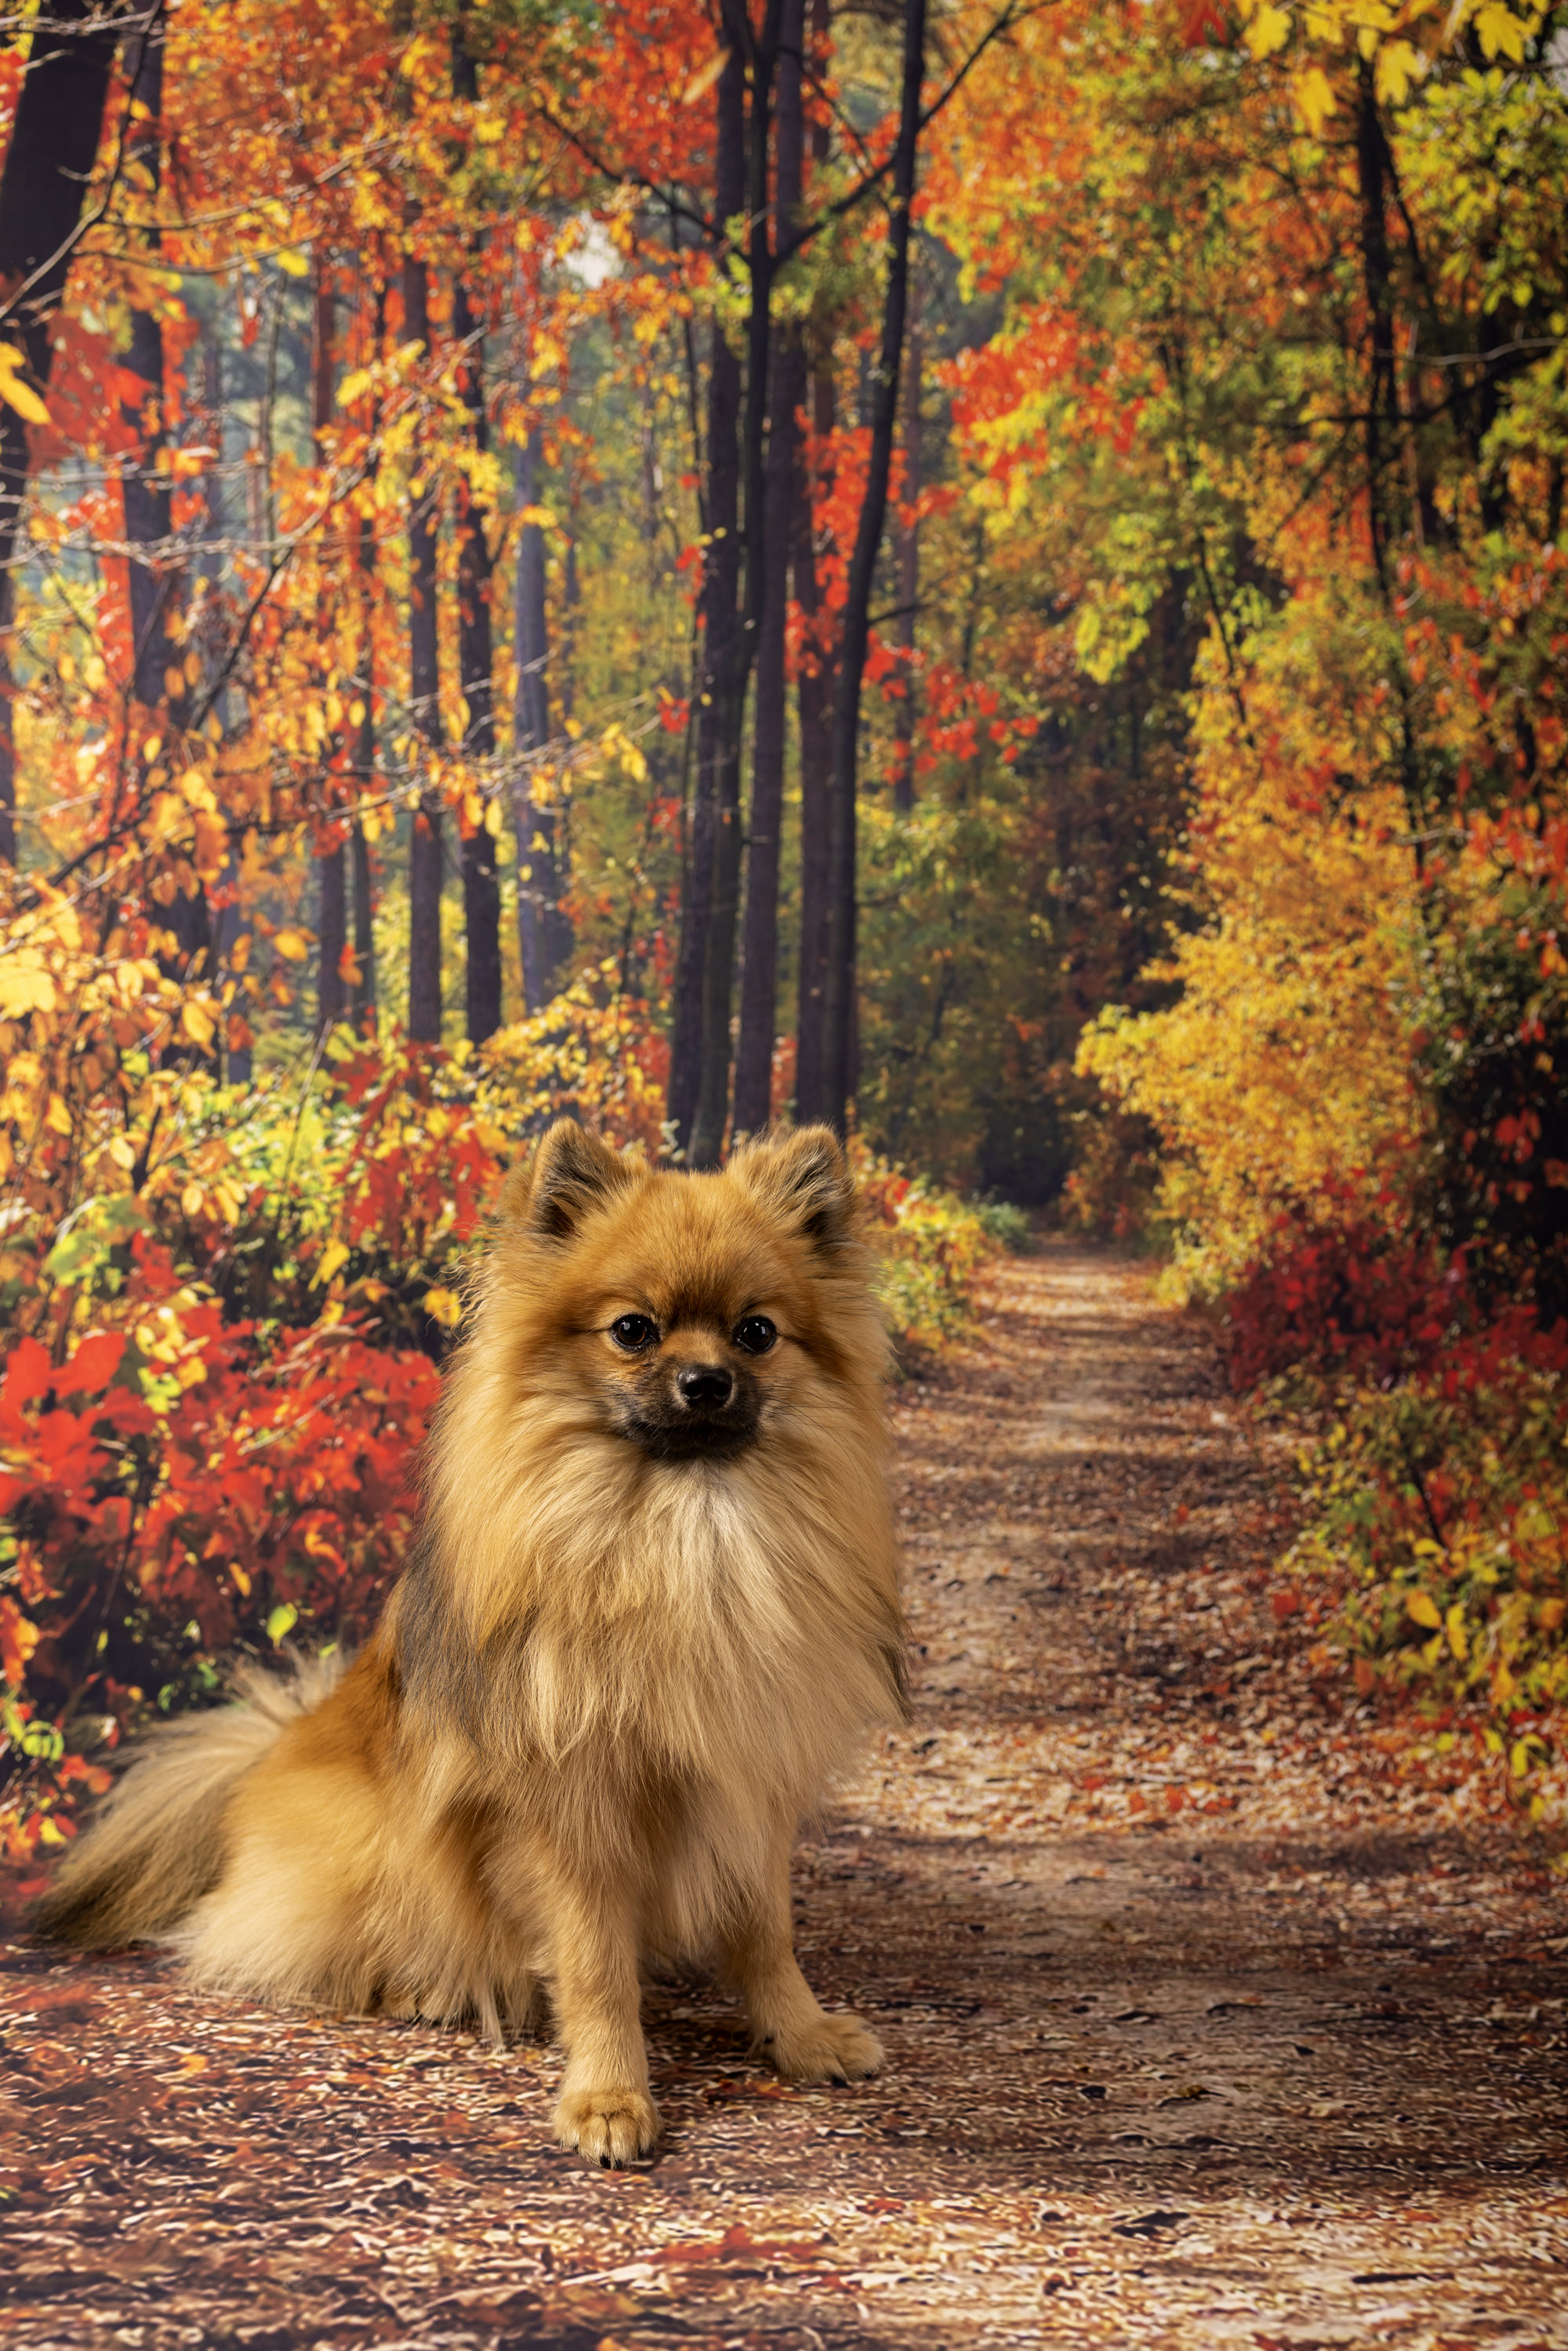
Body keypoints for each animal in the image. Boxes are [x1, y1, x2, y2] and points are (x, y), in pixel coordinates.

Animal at [36, 1119, 907, 2163]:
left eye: (756, 1332)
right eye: (633, 1330)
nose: (705, 1381)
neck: (688, 1536)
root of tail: (264, 1756)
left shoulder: (752, 1780)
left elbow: (765, 1932)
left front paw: (798, 2033)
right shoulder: (575, 1808)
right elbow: (594, 1963)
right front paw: (608, 2094)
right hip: (375, 1848)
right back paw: (425, 1986)